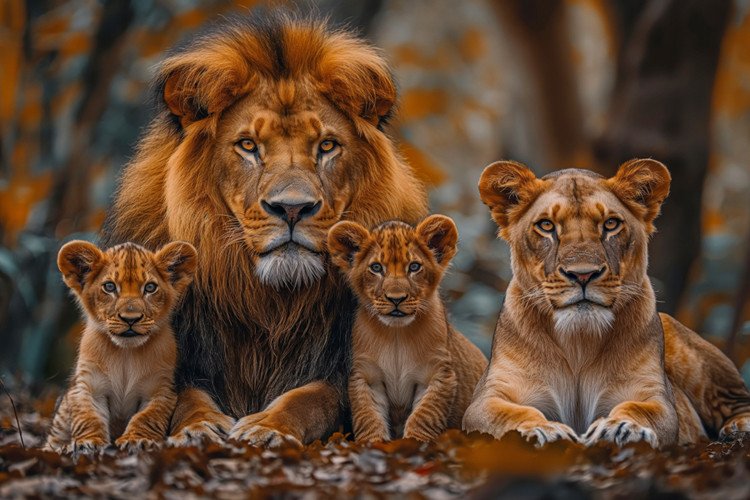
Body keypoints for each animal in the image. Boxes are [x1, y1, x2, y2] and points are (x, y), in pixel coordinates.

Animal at [47, 241, 196, 454]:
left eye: (150, 287)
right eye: (109, 286)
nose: (130, 319)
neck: (126, 352)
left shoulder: (161, 389)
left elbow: (147, 418)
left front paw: (137, 440)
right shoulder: (88, 387)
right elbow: (88, 417)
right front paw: (89, 443)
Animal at [101, 13, 427, 446]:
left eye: (326, 146)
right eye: (248, 145)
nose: (292, 208)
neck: (270, 304)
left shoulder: (344, 373)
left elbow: (311, 398)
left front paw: (267, 426)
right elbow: (185, 397)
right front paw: (199, 427)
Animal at [328, 216, 488, 442]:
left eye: (414, 267)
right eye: (376, 267)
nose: (396, 299)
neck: (397, 334)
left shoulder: (438, 373)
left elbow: (424, 416)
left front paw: (414, 443)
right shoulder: (367, 377)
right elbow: (368, 418)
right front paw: (374, 444)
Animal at [463, 159, 750, 448]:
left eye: (611, 224)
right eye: (546, 225)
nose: (583, 274)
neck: (578, 343)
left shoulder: (655, 397)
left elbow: (638, 408)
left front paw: (622, 427)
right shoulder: (487, 398)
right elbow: (511, 413)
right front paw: (544, 430)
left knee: (738, 400)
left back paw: (739, 426)